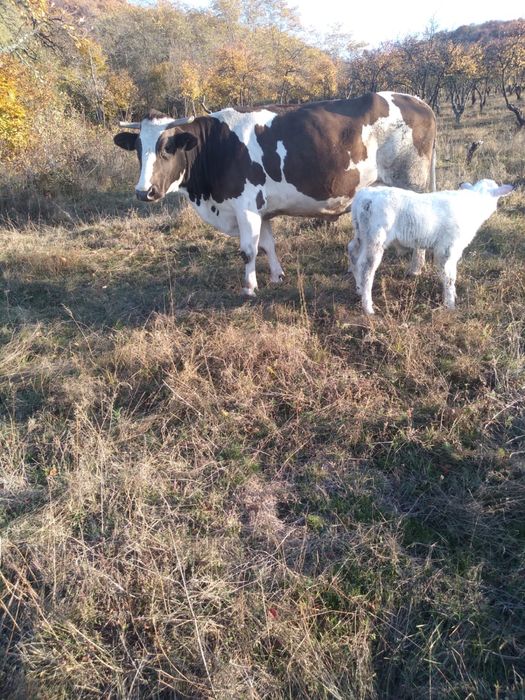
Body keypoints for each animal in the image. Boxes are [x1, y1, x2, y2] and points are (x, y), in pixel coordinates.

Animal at [114, 92, 436, 296]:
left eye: (167, 147)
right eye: (138, 149)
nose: (144, 192)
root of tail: (417, 100)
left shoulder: (245, 206)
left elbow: (248, 250)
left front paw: (249, 287)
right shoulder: (261, 209)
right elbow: (268, 244)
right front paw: (277, 276)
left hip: (413, 182)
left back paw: (415, 269)